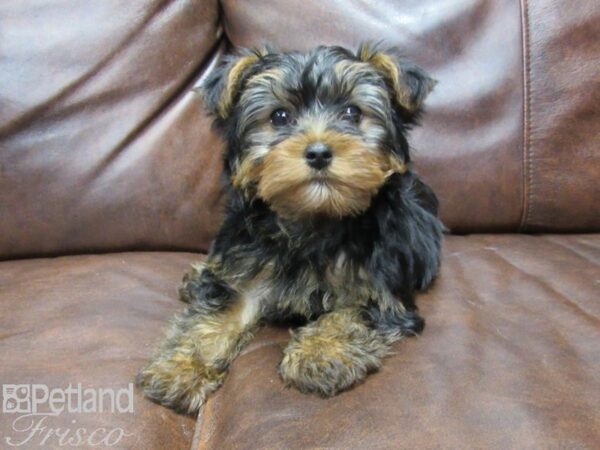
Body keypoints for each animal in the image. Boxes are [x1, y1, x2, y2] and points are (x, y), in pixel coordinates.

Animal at [138, 44, 442, 414]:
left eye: (353, 112)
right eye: (280, 117)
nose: (319, 152)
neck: (314, 217)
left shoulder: (382, 290)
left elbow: (351, 313)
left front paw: (320, 354)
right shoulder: (246, 268)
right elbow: (214, 316)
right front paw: (182, 367)